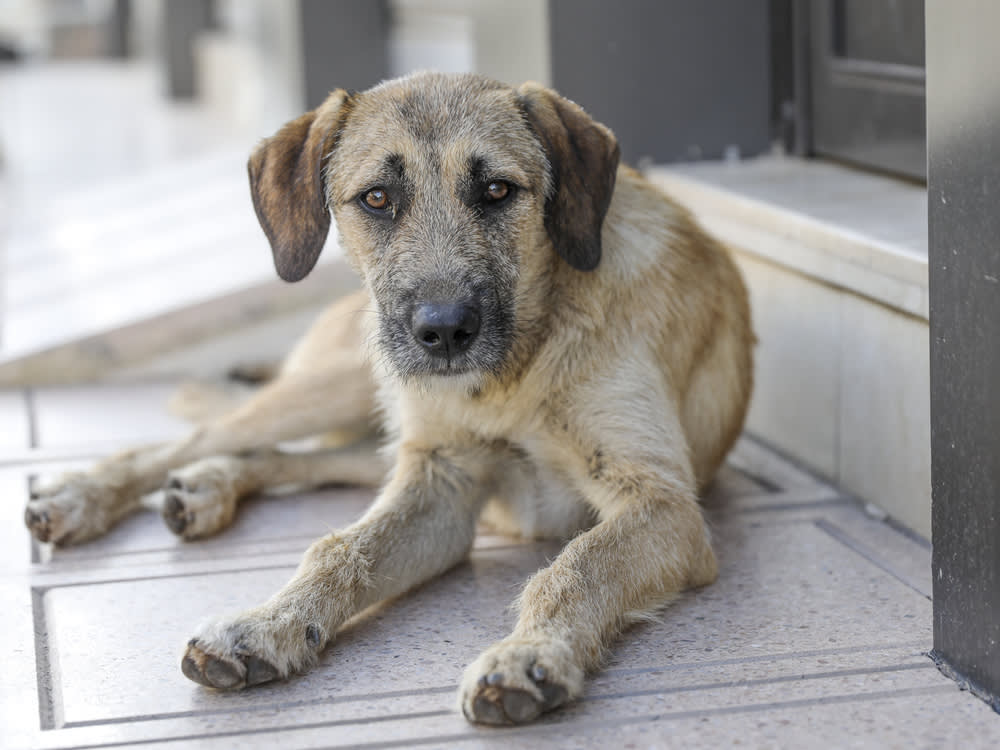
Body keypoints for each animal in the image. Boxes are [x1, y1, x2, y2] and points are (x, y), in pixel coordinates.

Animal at [23, 73, 752, 724]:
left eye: (497, 190)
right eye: (376, 198)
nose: (444, 332)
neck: (514, 372)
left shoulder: (661, 501)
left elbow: (573, 566)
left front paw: (528, 655)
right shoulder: (442, 475)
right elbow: (342, 548)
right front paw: (268, 624)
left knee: (295, 458)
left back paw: (206, 487)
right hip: (343, 385)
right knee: (191, 437)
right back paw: (82, 495)